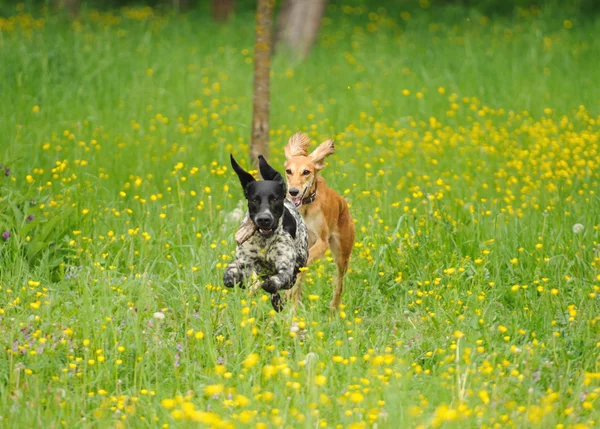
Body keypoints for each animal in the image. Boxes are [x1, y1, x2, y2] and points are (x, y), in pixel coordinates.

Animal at [225, 154, 310, 310]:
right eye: (254, 200)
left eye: (274, 199)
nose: (264, 219)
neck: (264, 240)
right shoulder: (245, 261)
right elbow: (234, 269)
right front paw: (231, 275)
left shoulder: (285, 266)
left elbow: (280, 278)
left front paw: (272, 284)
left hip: (300, 260)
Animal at [282, 132, 354, 310]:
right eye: (289, 171)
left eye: (306, 171)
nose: (293, 191)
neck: (305, 208)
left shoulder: (322, 242)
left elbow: (303, 264)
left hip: (342, 254)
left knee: (339, 284)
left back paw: (334, 308)